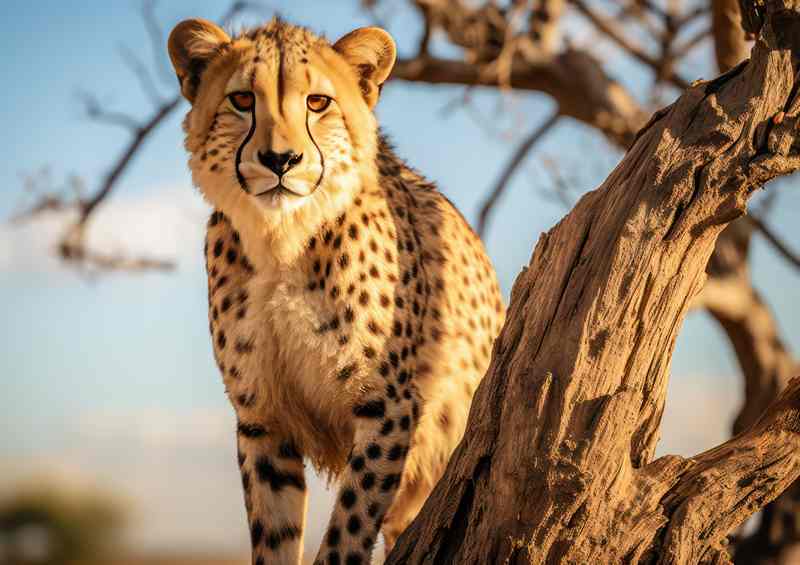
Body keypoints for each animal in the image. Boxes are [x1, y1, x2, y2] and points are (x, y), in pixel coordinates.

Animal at [168, 16, 505, 565]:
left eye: (317, 102)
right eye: (242, 100)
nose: (280, 159)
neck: (280, 241)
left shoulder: (388, 407)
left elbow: (348, 528)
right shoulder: (263, 418)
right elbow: (275, 533)